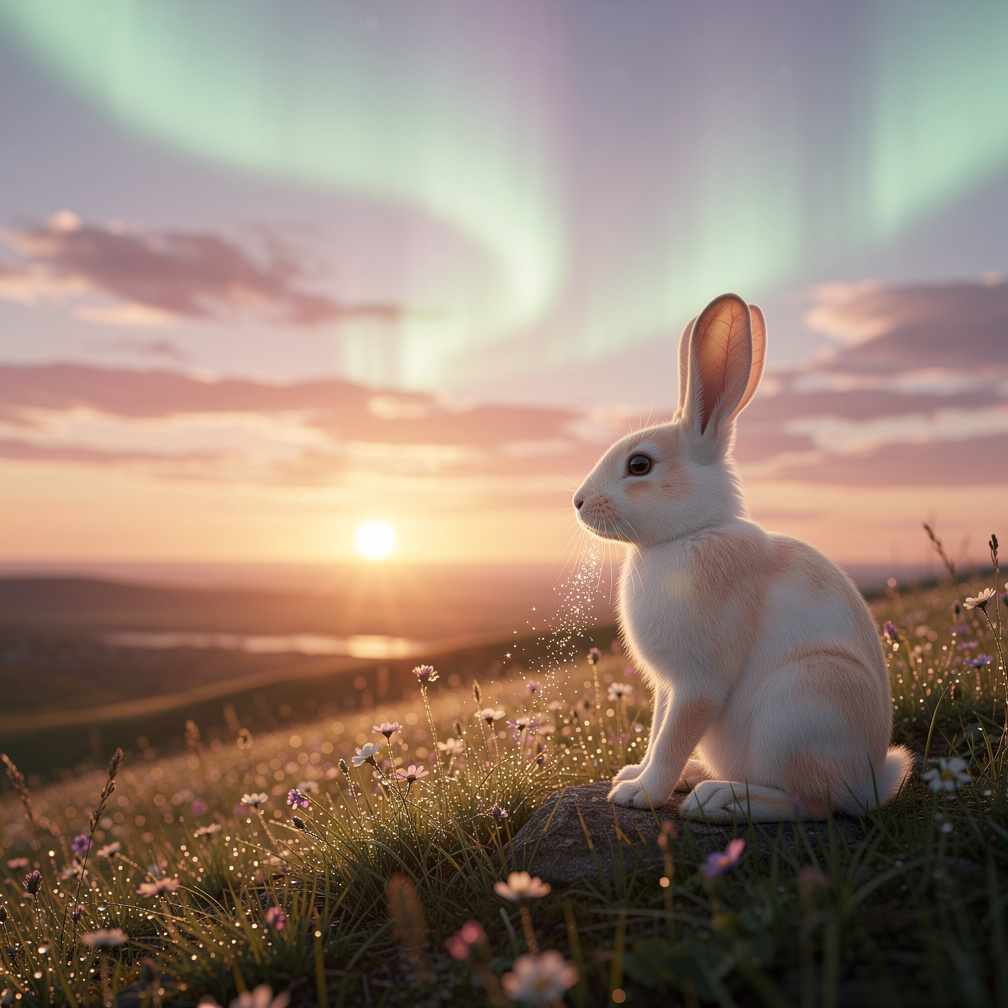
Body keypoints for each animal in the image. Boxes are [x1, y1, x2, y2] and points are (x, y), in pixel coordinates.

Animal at [572, 293, 913, 822]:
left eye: (640, 465)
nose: (579, 502)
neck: (690, 533)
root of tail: (873, 781)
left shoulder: (699, 683)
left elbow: (672, 737)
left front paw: (637, 793)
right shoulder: (667, 687)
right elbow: (658, 733)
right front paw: (634, 774)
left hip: (796, 709)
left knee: (813, 803)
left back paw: (721, 799)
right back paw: (698, 778)